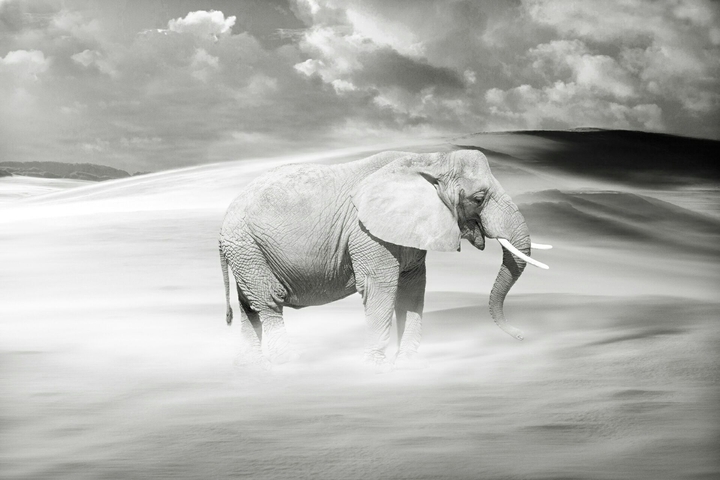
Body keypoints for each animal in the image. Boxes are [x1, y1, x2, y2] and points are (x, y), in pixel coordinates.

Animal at [218, 150, 550, 369]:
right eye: (479, 199)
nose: (521, 337)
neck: (428, 159)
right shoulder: (366, 232)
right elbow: (380, 288)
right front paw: (375, 369)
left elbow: (412, 289)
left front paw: (406, 366)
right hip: (247, 246)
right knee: (268, 301)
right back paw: (291, 364)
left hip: (246, 251)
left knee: (249, 307)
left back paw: (252, 369)